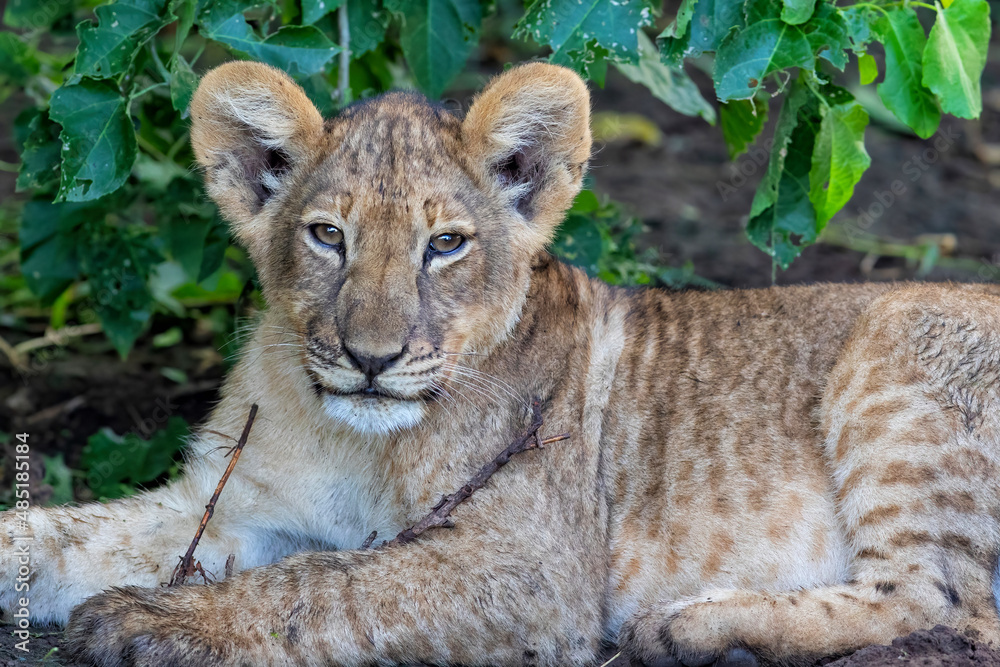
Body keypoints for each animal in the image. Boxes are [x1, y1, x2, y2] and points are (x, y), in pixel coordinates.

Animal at [3, 61, 1000, 667]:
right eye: (328, 236)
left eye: (445, 244)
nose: (371, 358)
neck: (354, 437)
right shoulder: (233, 506)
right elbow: (63, 533)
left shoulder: (531, 566)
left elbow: (325, 583)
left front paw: (147, 619)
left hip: (898, 338)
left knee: (940, 601)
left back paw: (697, 625)